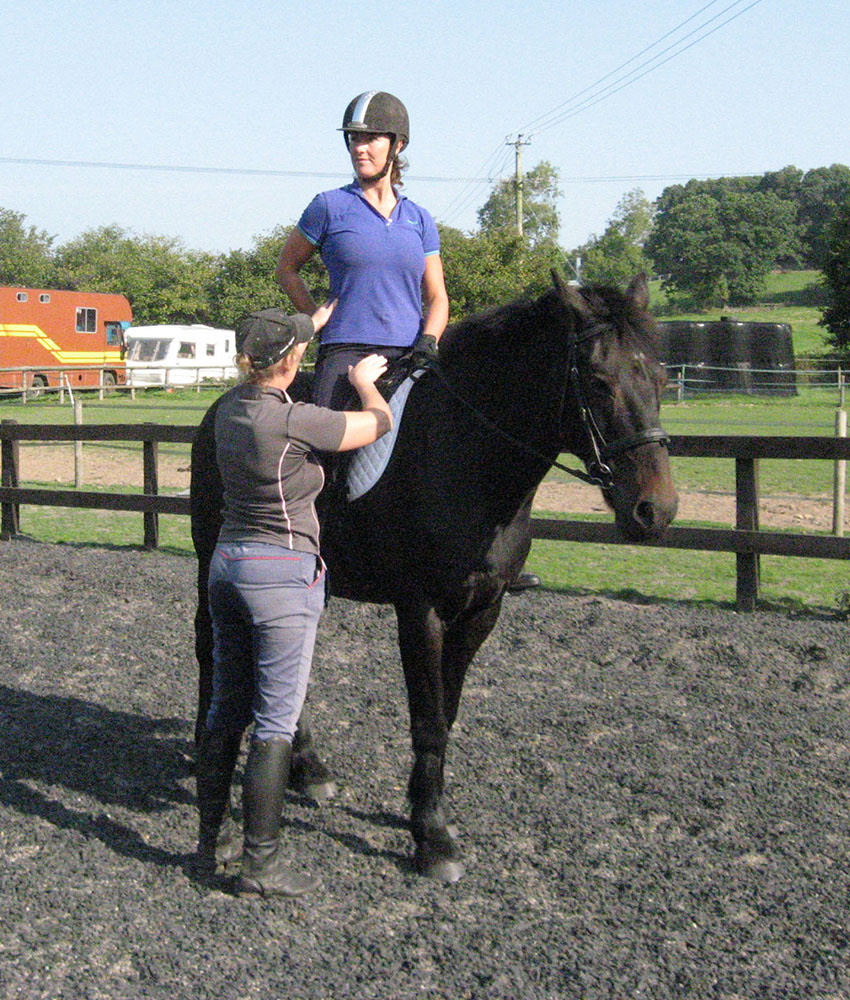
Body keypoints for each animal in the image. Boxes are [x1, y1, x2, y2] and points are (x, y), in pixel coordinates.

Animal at [190, 272, 678, 882]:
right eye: (597, 381)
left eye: (660, 378)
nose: (655, 511)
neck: (468, 455)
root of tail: (218, 410)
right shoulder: (420, 612)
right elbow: (426, 719)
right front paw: (433, 840)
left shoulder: (482, 611)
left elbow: (446, 716)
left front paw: (428, 812)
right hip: (211, 563)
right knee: (209, 648)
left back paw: (308, 769)